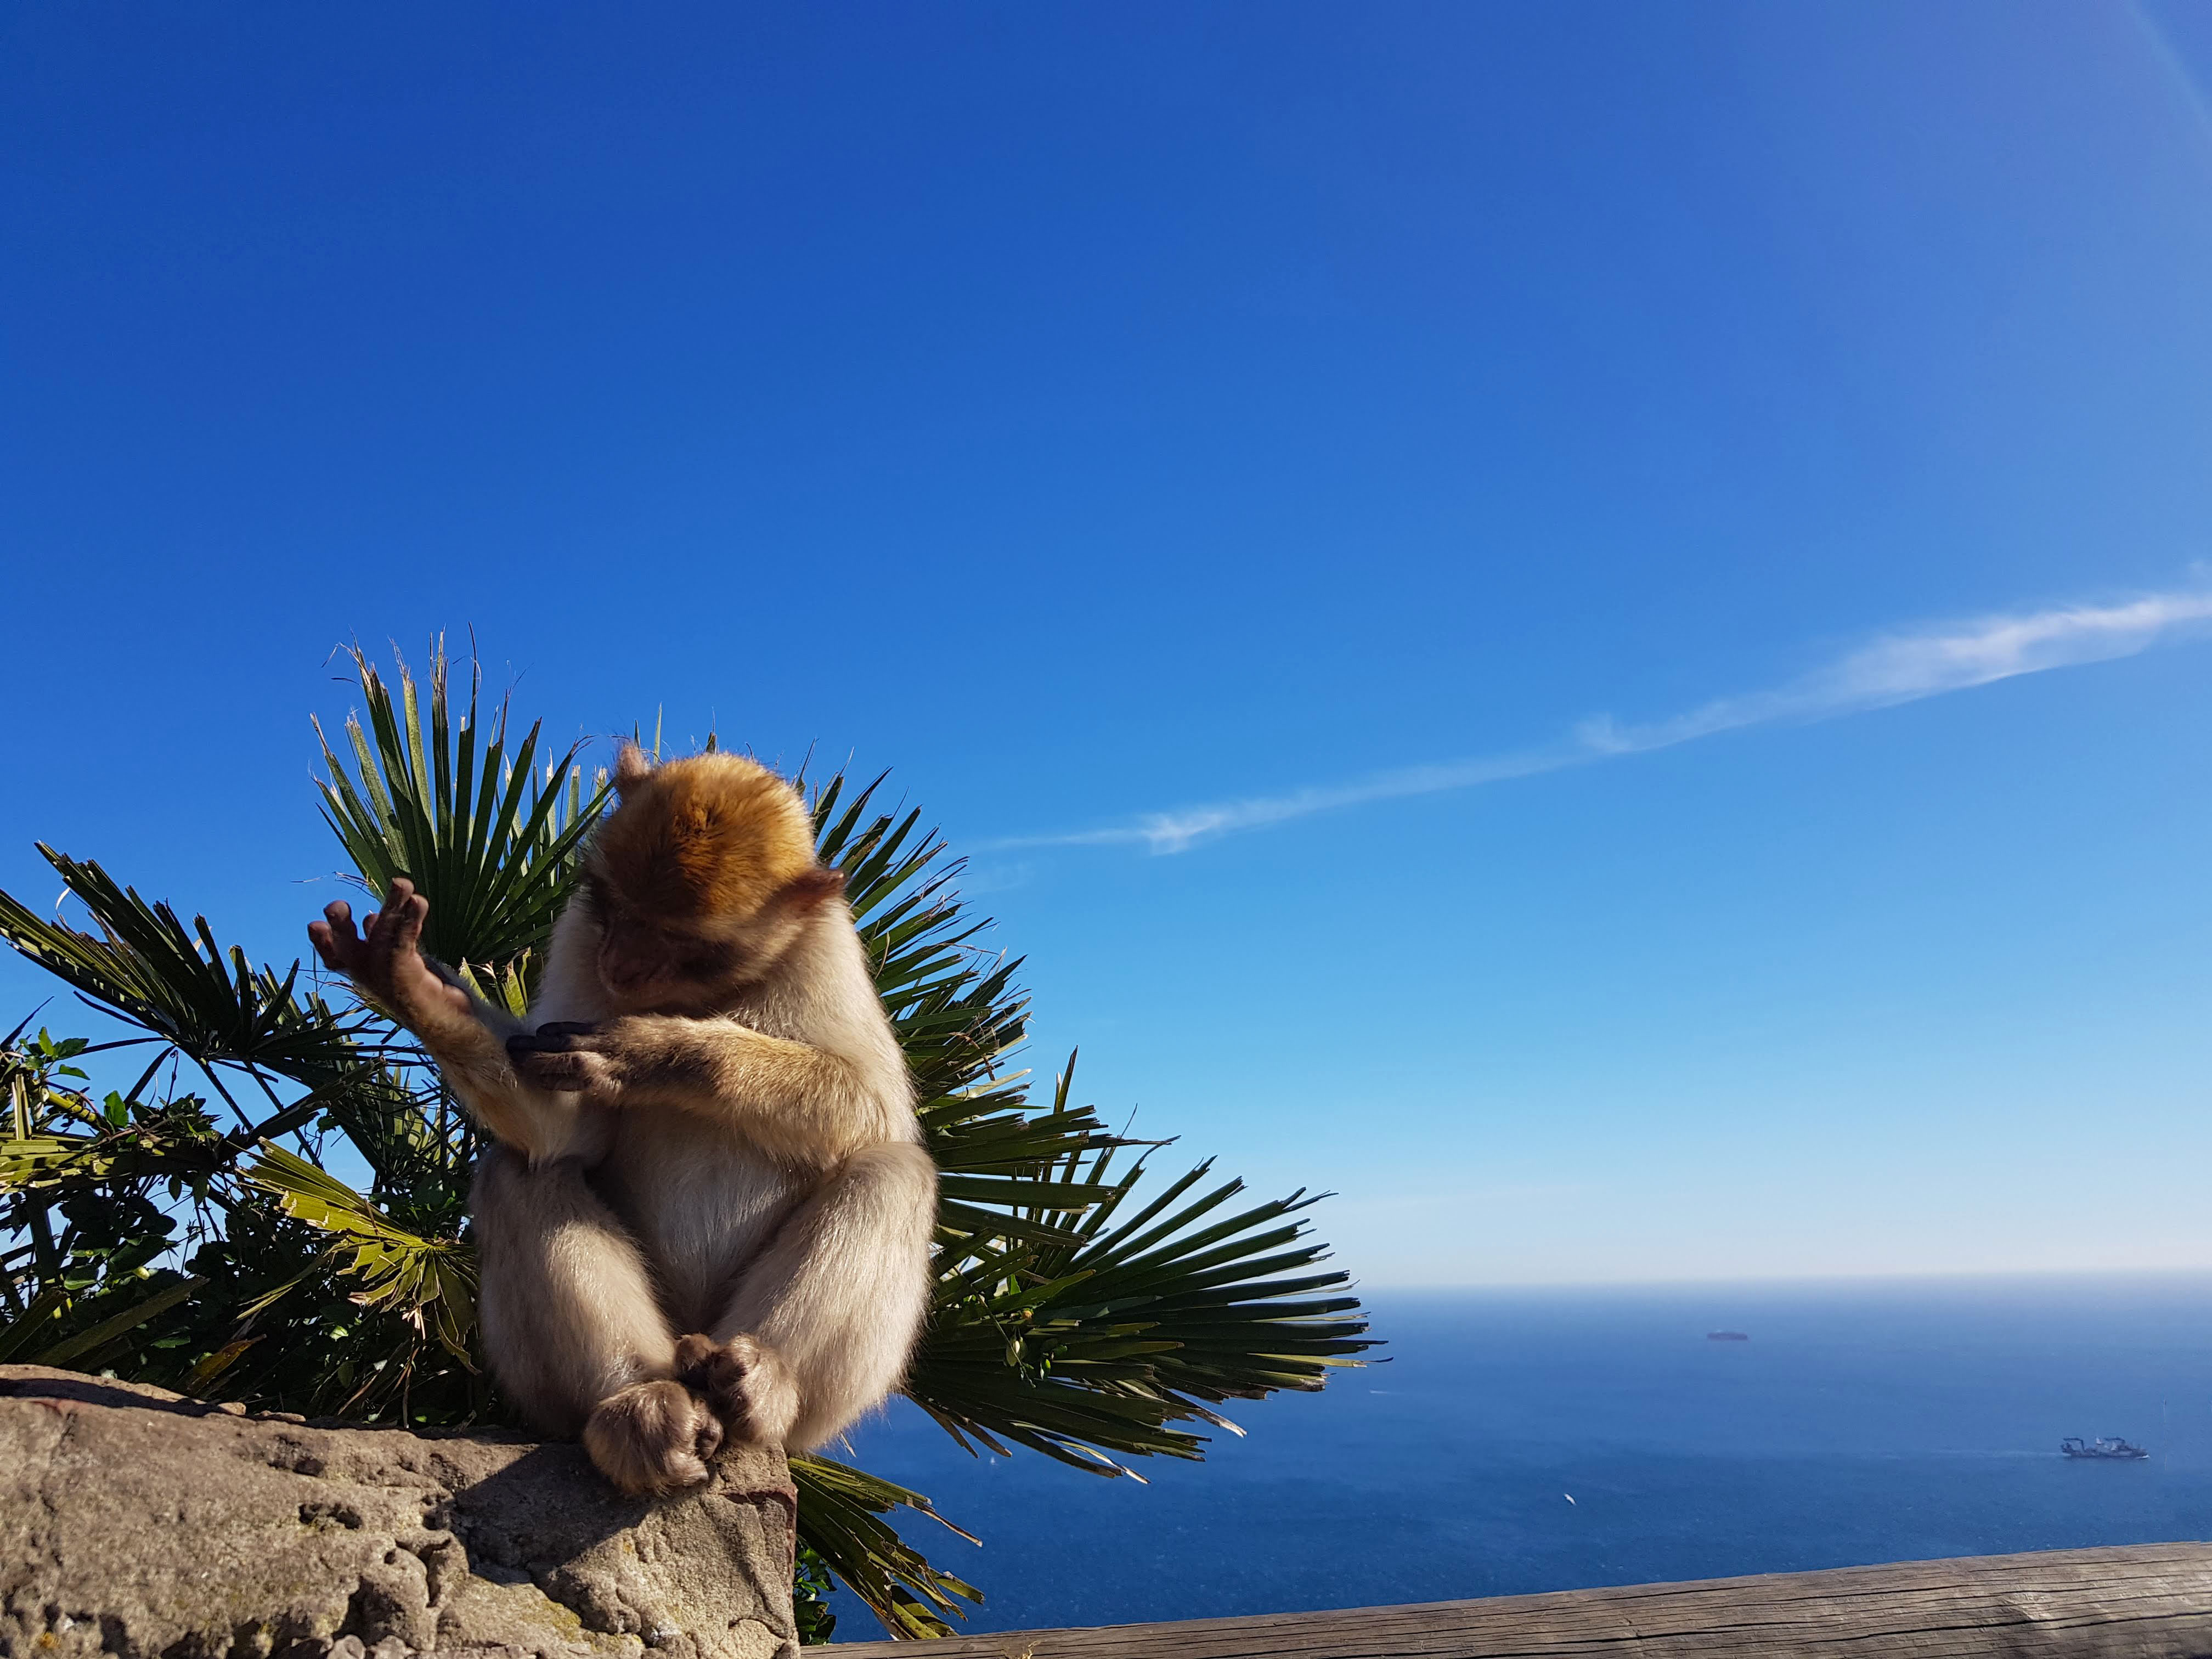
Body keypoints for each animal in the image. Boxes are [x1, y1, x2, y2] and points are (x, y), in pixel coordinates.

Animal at [308, 744, 937, 1496]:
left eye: (680, 941)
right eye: (618, 912)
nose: (622, 966)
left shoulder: (827, 944)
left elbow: (875, 1106)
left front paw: (658, 1052)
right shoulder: (579, 931)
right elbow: (569, 1131)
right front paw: (416, 984)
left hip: (809, 1406)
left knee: (893, 1170)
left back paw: (761, 1384)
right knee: (522, 1171)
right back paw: (640, 1409)